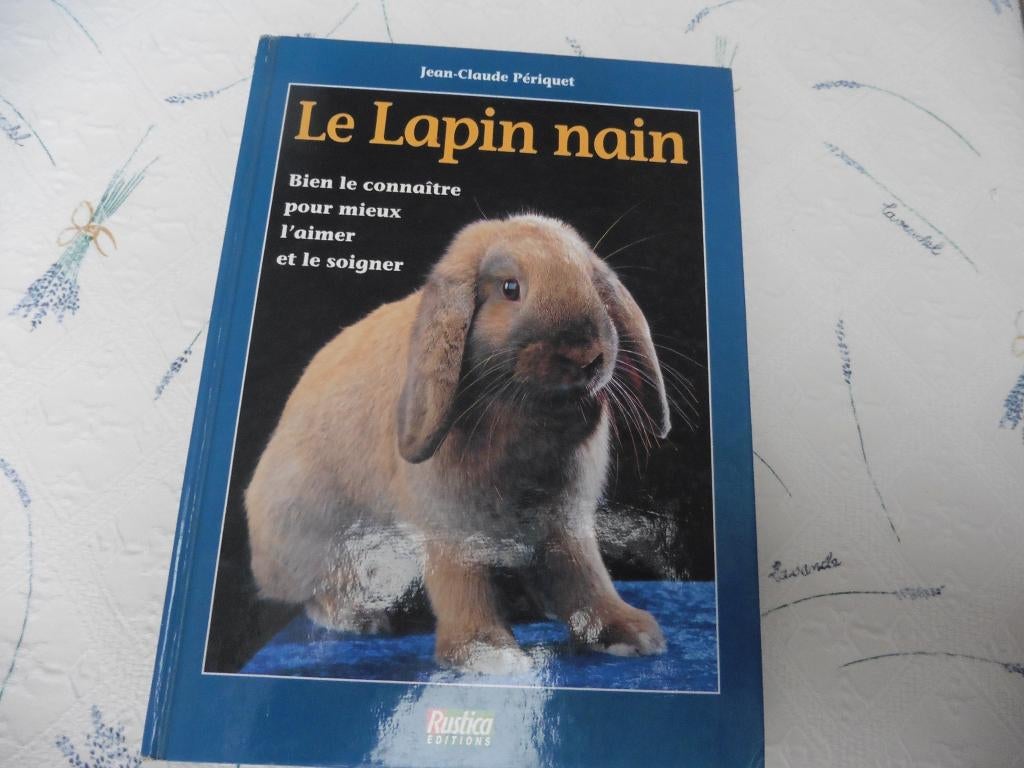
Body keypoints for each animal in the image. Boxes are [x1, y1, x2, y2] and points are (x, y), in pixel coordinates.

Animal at [244, 213, 672, 671]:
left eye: (592, 285)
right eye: (510, 288)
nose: (585, 355)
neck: (527, 414)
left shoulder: (566, 523)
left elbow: (584, 575)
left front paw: (627, 631)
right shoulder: (450, 527)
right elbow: (462, 583)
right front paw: (487, 653)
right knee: (318, 592)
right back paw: (360, 616)